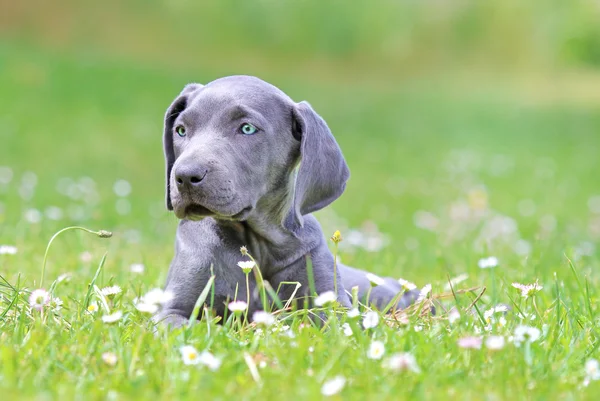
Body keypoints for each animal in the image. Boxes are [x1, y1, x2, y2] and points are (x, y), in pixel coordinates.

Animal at [156, 76, 418, 328]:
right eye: (181, 130)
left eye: (247, 128)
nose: (185, 176)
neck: (259, 247)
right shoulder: (171, 311)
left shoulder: (334, 308)